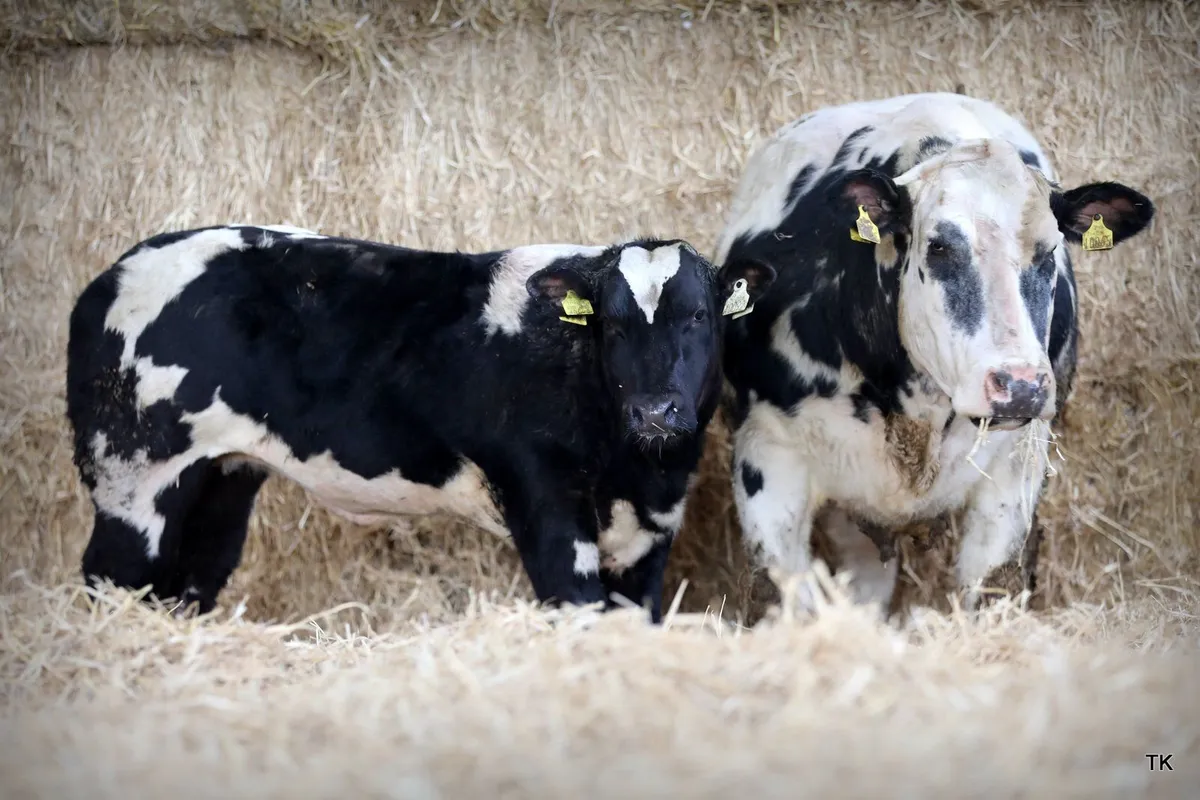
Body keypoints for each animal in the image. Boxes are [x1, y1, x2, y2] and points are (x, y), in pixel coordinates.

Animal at [66, 225, 771, 622]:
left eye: (699, 315)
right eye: (613, 324)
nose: (655, 411)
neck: (636, 466)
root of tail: (112, 276)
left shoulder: (654, 528)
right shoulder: (545, 504)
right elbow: (576, 608)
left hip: (221, 479)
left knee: (190, 580)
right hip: (133, 474)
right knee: (114, 576)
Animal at [713, 93, 1154, 613]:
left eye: (1049, 252)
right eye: (939, 247)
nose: (1020, 386)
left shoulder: (1016, 469)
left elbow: (991, 587)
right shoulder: (766, 458)